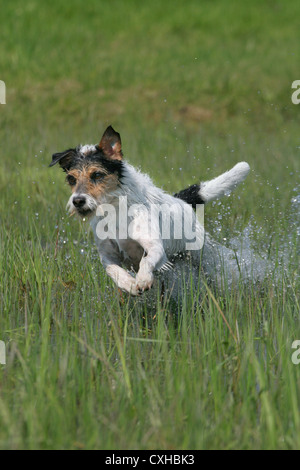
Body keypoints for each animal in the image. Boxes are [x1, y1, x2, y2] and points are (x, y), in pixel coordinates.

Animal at [49, 127, 251, 298]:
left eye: (97, 175)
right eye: (71, 179)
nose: (78, 201)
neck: (115, 212)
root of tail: (182, 202)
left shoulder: (155, 247)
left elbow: (146, 261)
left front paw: (143, 279)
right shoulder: (108, 255)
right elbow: (112, 270)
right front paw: (129, 284)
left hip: (202, 257)